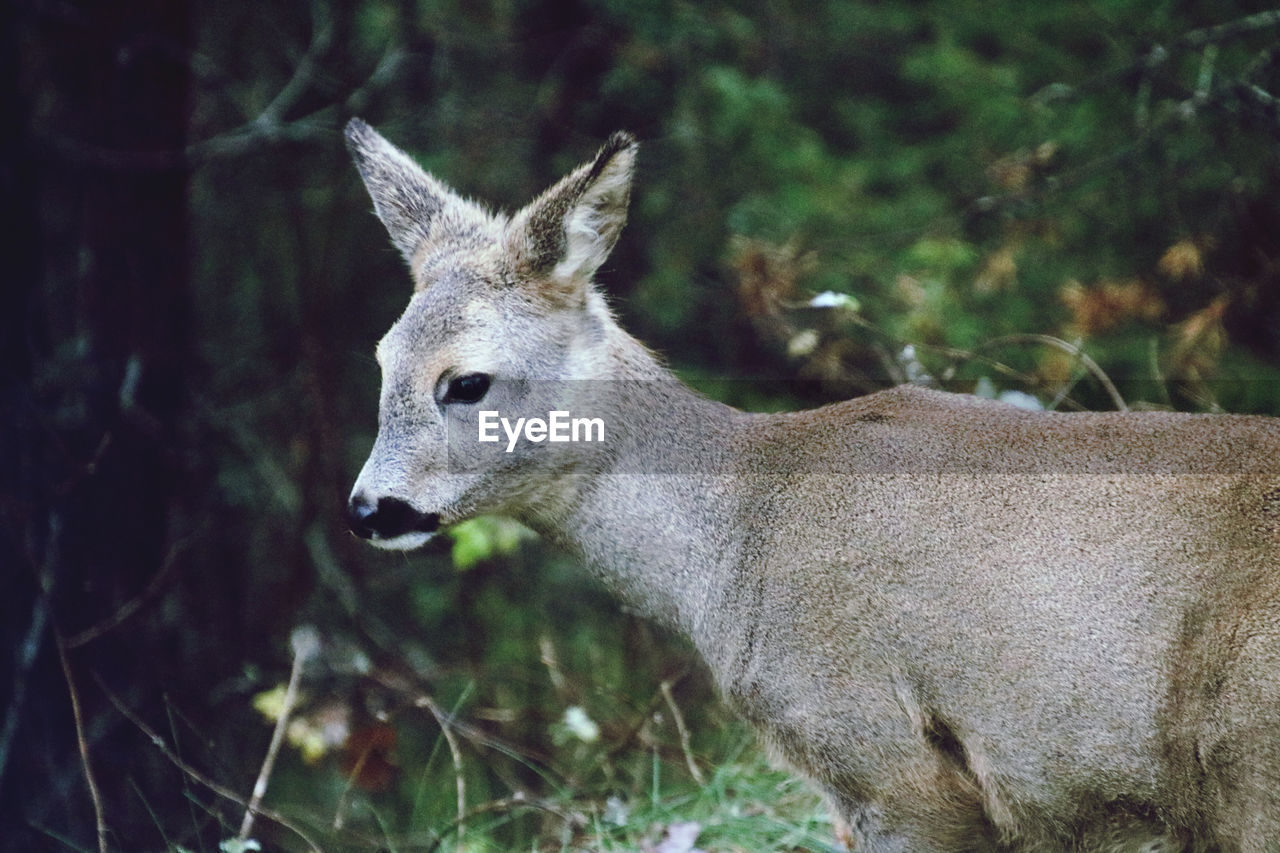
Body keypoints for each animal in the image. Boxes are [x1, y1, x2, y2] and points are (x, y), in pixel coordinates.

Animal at [340, 117, 1280, 850]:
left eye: (466, 380)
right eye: (381, 360)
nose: (367, 509)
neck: (735, 538)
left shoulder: (884, 753)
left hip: (1248, 754)